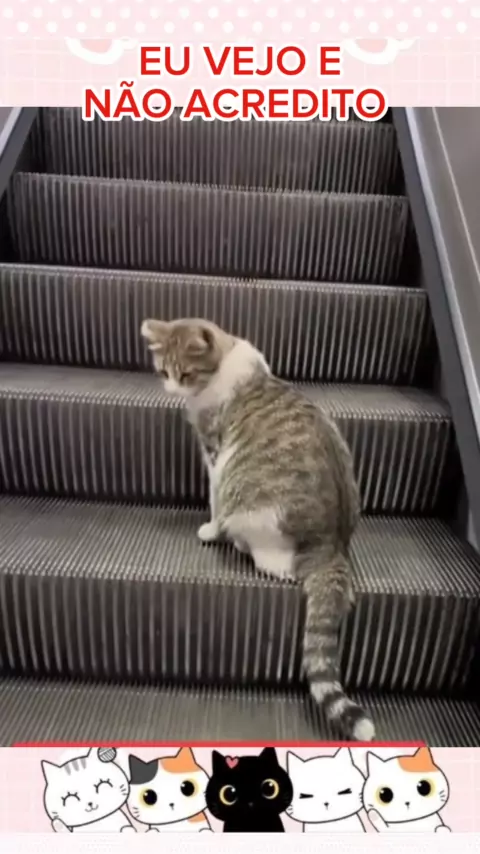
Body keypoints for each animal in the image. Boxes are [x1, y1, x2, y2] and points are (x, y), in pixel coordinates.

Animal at [141, 317, 374, 742]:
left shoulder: (214, 453)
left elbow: (213, 497)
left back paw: (245, 546)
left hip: (253, 506)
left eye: (185, 374)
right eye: (163, 372)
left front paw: (210, 529)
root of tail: (331, 546)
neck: (228, 360)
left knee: (269, 557)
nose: (170, 389)